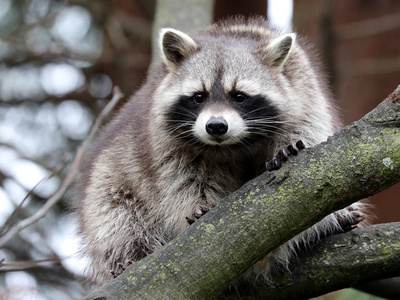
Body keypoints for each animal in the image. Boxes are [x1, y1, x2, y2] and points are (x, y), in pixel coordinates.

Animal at [75, 15, 366, 286]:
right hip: (108, 183)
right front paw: (198, 205)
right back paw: (130, 255)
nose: (215, 126)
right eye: (198, 96)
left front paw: (289, 147)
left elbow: (309, 131)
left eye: (239, 96)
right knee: (115, 218)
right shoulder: (165, 140)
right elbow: (182, 179)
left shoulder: (305, 88)